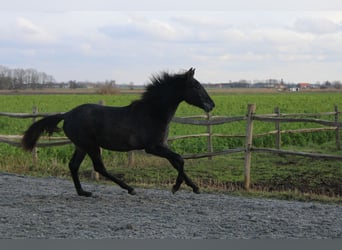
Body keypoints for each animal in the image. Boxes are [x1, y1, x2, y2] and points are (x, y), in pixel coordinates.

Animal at [21, 68, 214, 197]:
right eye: (196, 86)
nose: (211, 105)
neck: (153, 113)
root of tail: (67, 114)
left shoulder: (162, 145)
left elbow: (176, 162)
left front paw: (195, 187)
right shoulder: (153, 147)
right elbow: (180, 160)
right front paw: (176, 187)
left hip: (81, 146)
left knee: (73, 165)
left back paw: (83, 192)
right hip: (91, 146)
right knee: (99, 167)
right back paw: (129, 188)